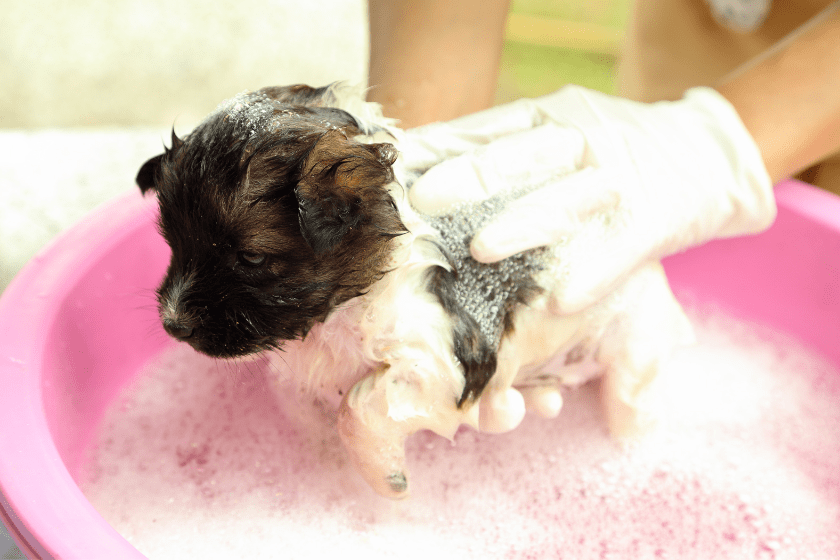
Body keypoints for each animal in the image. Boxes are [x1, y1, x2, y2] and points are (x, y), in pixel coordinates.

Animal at [135, 84, 692, 498]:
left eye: (249, 257)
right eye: (173, 242)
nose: (172, 324)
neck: (351, 308)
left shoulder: (438, 357)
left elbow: (358, 409)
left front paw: (385, 479)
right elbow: (301, 403)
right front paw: (323, 461)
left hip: (634, 347)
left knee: (631, 403)